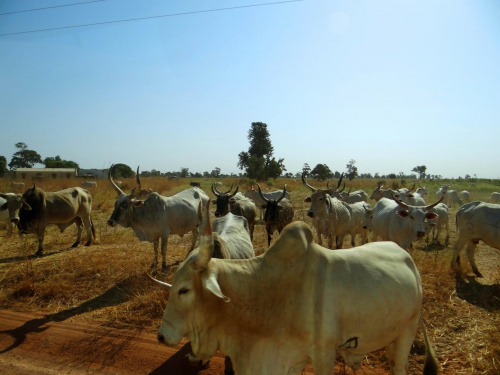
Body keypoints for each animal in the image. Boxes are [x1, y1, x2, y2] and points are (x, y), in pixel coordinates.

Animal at [149, 217, 438, 375]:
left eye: (184, 289)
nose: (161, 336)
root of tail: (406, 256)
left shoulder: (323, 355)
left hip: (408, 331)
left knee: (399, 367)